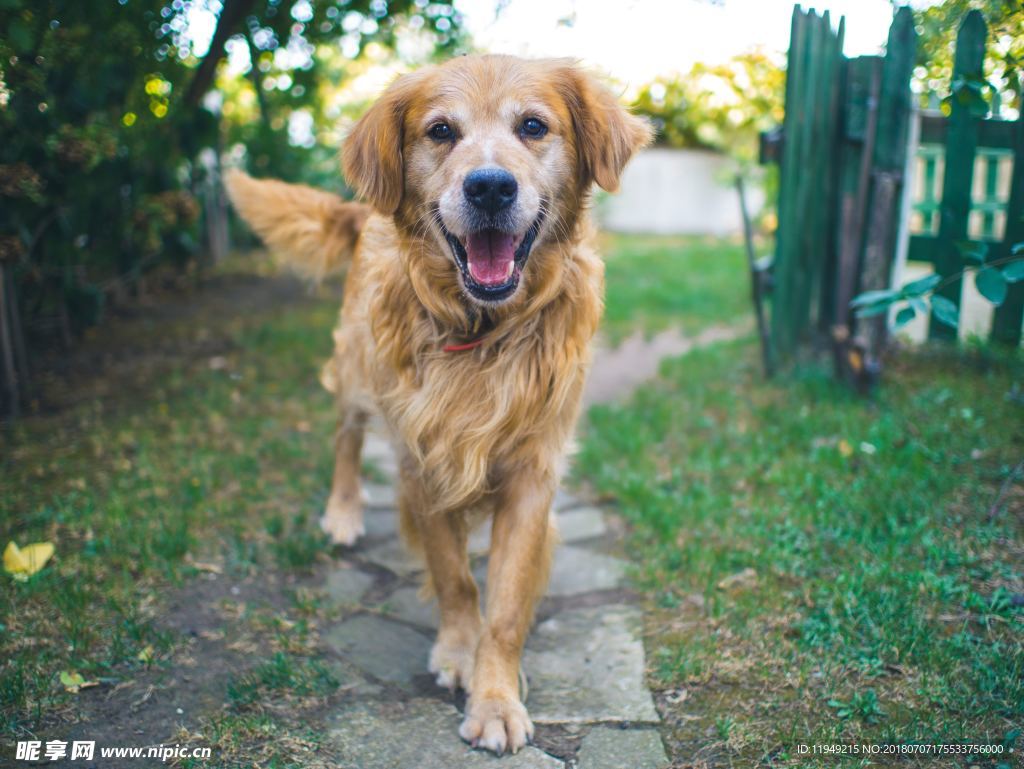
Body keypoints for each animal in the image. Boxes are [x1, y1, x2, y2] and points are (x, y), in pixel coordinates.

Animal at [228, 55, 651, 757]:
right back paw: (343, 512)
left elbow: (504, 603)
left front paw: (496, 695)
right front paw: (459, 651)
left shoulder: (532, 474)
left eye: (533, 126)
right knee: (345, 438)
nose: (490, 188)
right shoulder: (421, 461)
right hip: (357, 372)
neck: (483, 331)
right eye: (441, 131)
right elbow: (456, 577)